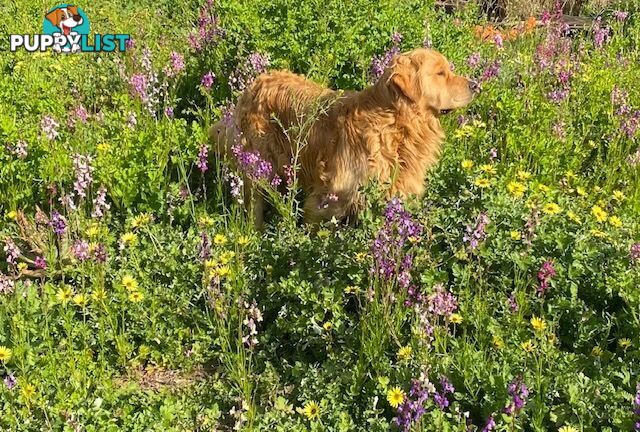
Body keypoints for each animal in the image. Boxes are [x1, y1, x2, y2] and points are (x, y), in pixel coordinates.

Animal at [212, 48, 478, 226]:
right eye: (440, 73)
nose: (476, 85)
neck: (393, 123)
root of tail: (254, 83)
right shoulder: (327, 199)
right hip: (259, 164)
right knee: (254, 202)